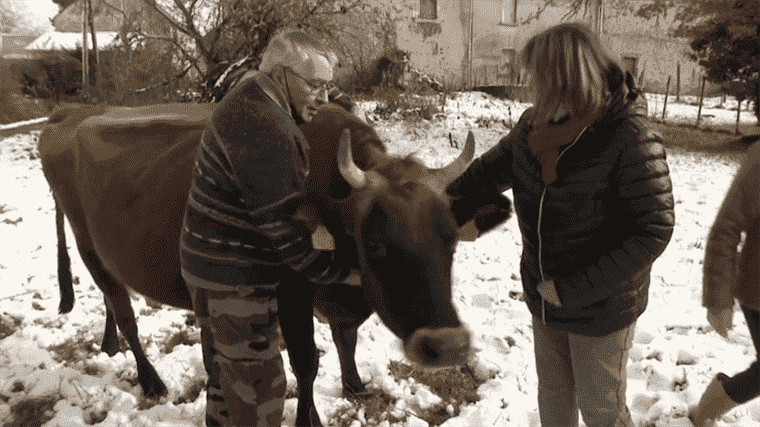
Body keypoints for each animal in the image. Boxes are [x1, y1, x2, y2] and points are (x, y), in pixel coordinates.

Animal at [38, 102, 512, 426]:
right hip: (88, 245)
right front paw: (310, 418)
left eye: (451, 240)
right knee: (125, 312)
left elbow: (346, 338)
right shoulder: (291, 294)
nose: (447, 346)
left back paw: (108, 345)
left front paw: (355, 384)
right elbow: (306, 363)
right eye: (374, 243)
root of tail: (70, 115)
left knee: (109, 300)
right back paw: (151, 380)